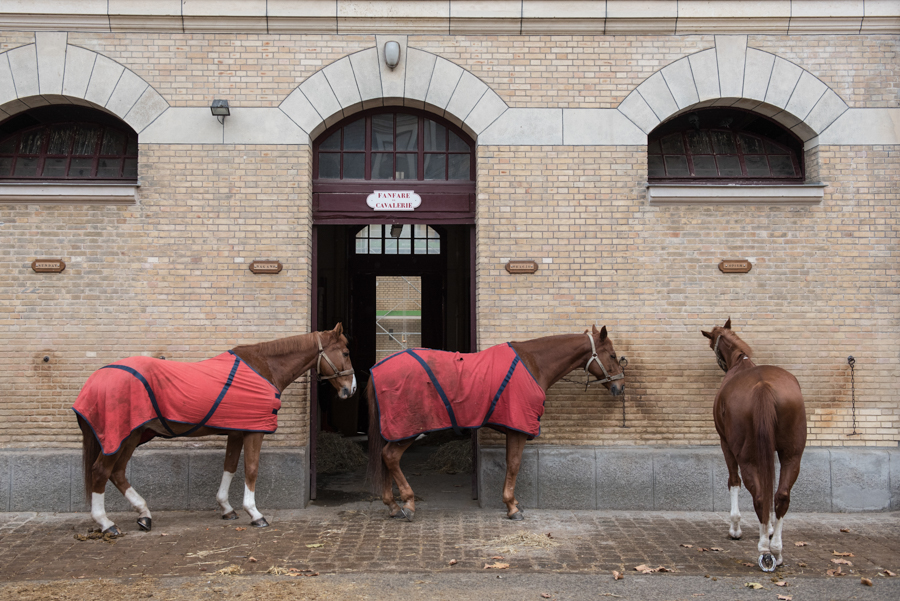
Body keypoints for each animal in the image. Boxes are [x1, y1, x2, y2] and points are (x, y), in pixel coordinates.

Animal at [74, 324, 356, 536]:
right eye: (345, 352)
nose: (350, 389)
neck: (265, 367)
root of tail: (96, 379)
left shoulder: (236, 431)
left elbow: (229, 466)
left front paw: (227, 509)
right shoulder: (253, 431)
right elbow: (251, 469)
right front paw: (255, 513)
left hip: (131, 436)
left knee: (117, 473)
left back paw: (144, 515)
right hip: (120, 437)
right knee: (101, 472)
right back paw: (106, 523)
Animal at [368, 324, 624, 520]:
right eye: (612, 355)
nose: (620, 387)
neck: (534, 363)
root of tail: (377, 367)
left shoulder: (514, 429)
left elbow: (511, 463)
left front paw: (514, 503)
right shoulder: (518, 428)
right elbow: (514, 464)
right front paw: (512, 507)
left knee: (385, 458)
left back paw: (392, 505)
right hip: (408, 430)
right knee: (390, 457)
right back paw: (408, 503)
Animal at [700, 316, 804, 568]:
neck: (740, 361)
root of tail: (763, 387)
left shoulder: (725, 444)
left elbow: (733, 482)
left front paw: (735, 528)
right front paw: (768, 528)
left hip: (745, 454)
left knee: (757, 494)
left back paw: (765, 549)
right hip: (792, 454)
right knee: (781, 495)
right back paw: (776, 549)